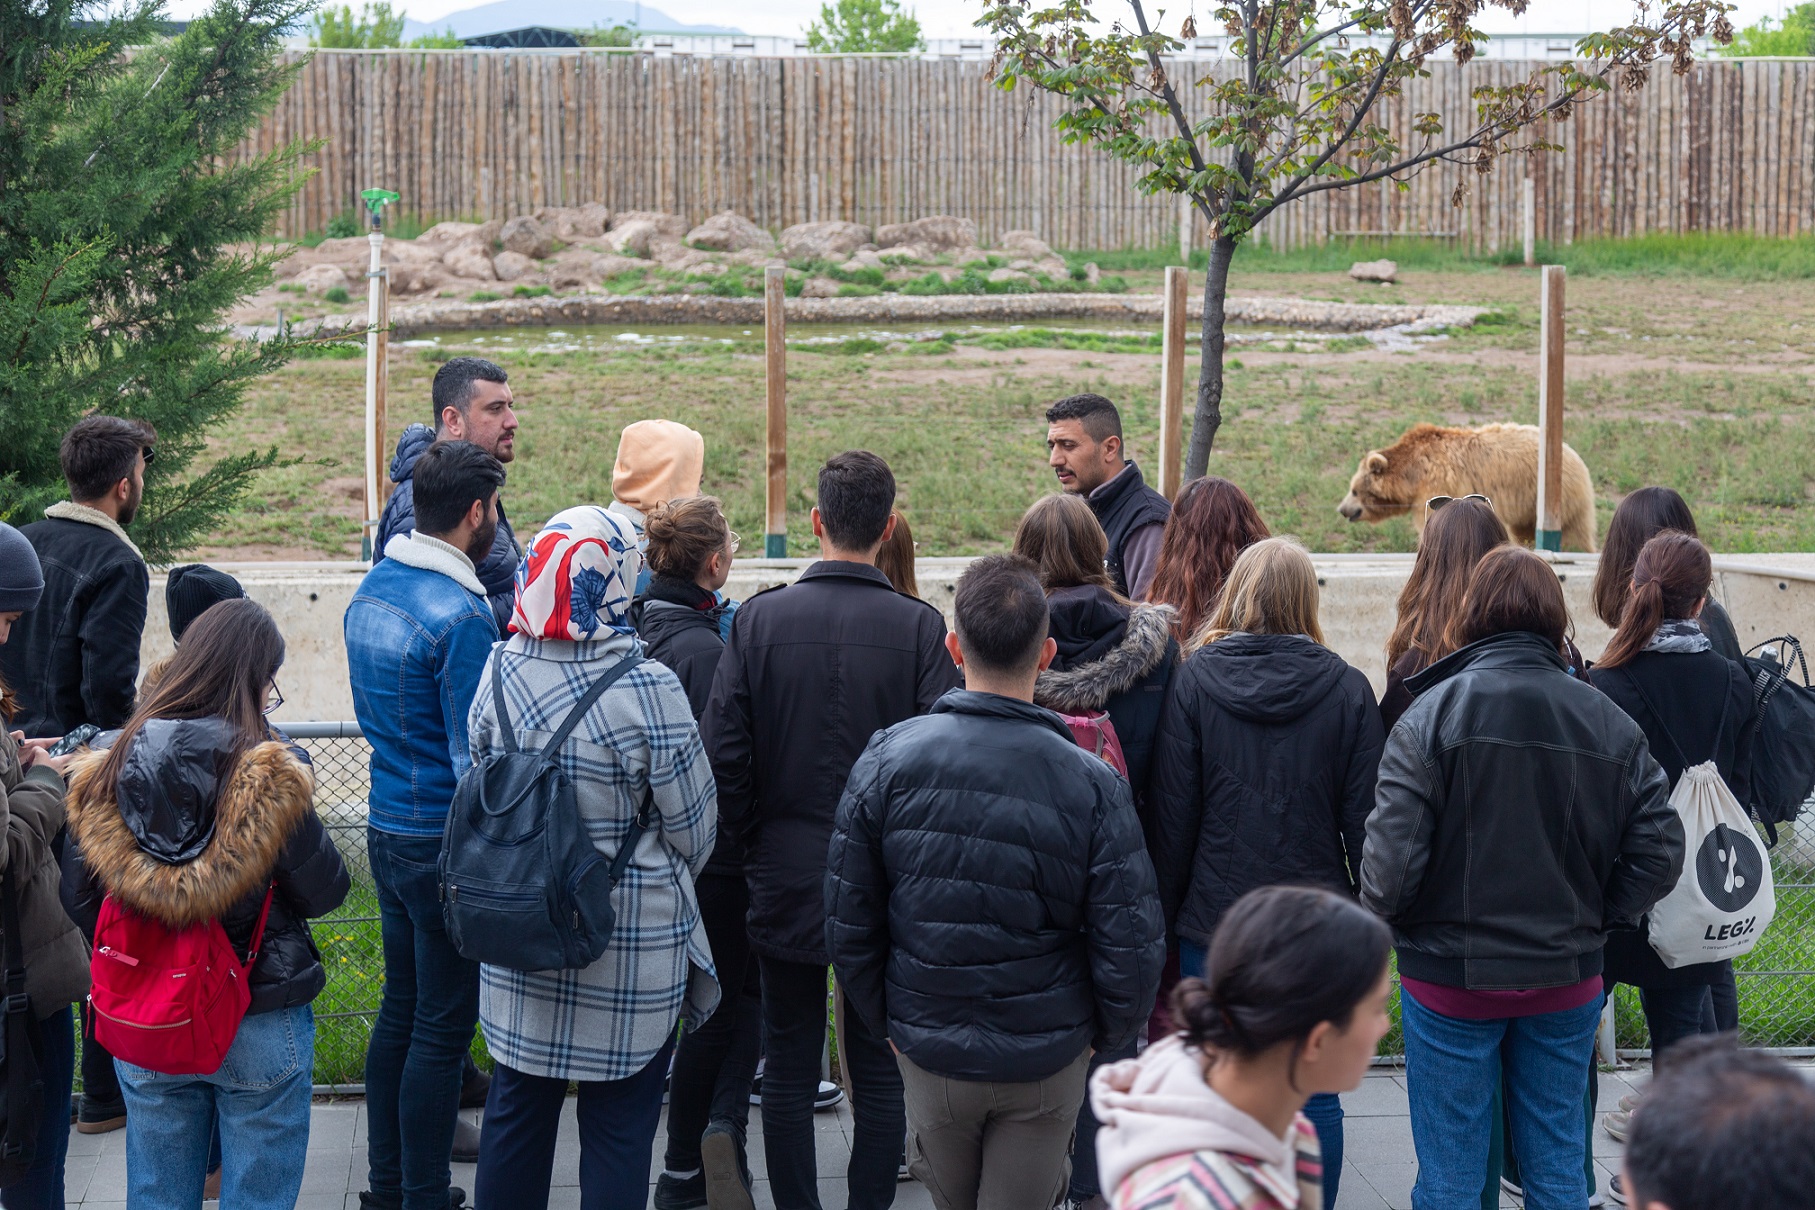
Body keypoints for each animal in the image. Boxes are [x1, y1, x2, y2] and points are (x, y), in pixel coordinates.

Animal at [1335, 424, 1604, 551]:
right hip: (1528, 506)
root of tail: (1572, 452)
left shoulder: (1437, 482)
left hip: (1558, 493)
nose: (1342, 509)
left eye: (1355, 490)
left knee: (1574, 533)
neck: (1412, 474)